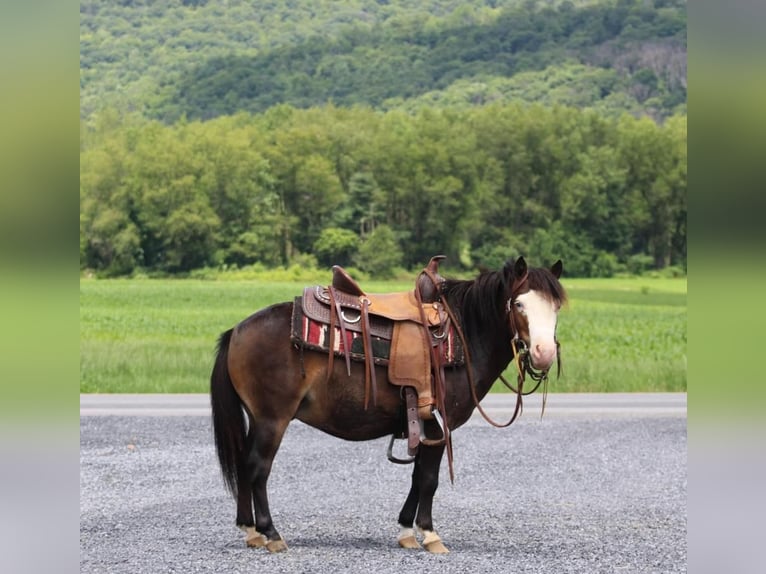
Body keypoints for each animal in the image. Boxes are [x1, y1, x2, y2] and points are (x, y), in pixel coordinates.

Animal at [208, 256, 564, 552]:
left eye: (556, 307)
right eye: (518, 303)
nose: (544, 353)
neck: (465, 334)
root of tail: (237, 330)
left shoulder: (423, 426)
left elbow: (418, 477)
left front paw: (407, 531)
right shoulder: (439, 424)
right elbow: (429, 479)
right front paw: (430, 534)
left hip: (257, 418)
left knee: (244, 463)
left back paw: (250, 531)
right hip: (273, 419)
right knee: (258, 467)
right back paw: (270, 533)